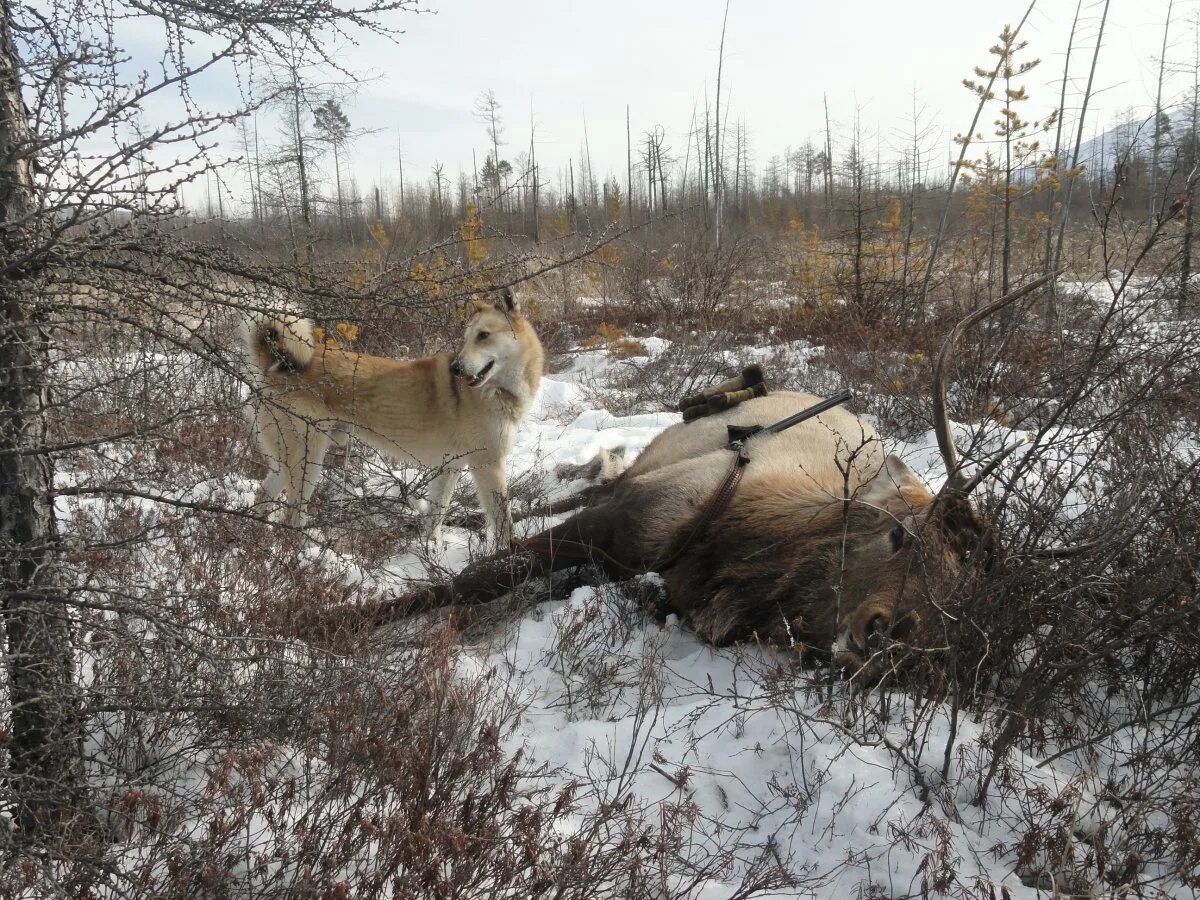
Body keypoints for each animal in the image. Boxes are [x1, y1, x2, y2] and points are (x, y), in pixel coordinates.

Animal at [391, 278, 1060, 672]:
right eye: (899, 534)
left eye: (959, 592)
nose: (885, 635)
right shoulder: (633, 515)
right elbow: (472, 580)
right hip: (647, 464)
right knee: (584, 486)